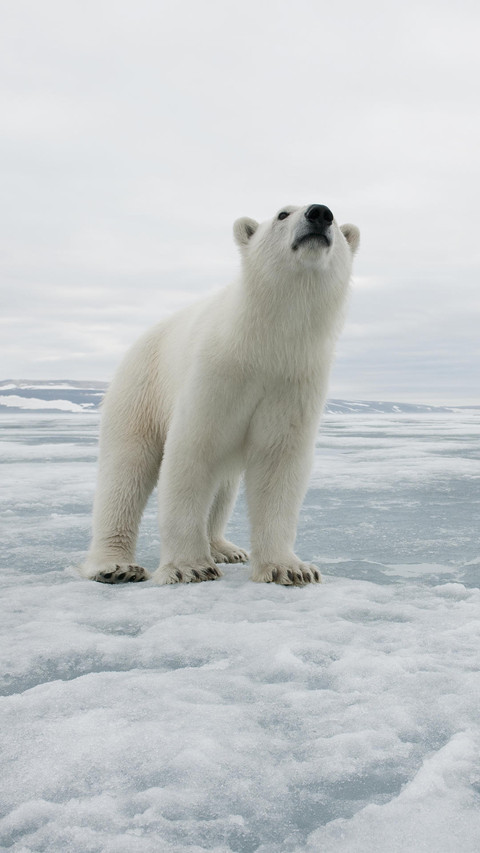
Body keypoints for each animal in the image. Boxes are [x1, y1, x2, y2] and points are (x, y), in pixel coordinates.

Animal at [80, 203, 360, 587]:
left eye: (334, 214)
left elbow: (278, 462)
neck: (262, 345)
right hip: (139, 391)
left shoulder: (294, 381)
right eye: (283, 213)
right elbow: (191, 452)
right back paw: (116, 566)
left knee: (223, 485)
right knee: (125, 470)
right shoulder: (214, 374)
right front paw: (190, 567)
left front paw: (290, 568)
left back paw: (225, 548)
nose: (320, 213)